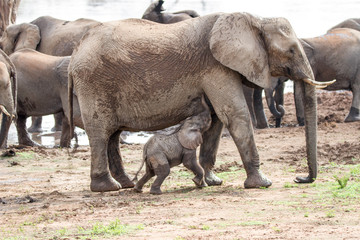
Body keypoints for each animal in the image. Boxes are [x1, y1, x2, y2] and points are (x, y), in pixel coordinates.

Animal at [69, 11, 334, 192]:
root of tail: (75, 52)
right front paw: (262, 183)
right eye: (291, 50)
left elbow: (216, 120)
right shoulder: (216, 66)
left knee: (112, 136)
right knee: (100, 133)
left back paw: (126, 184)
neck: (255, 19)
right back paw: (107, 187)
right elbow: (234, 114)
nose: (300, 178)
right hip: (93, 83)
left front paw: (212, 181)